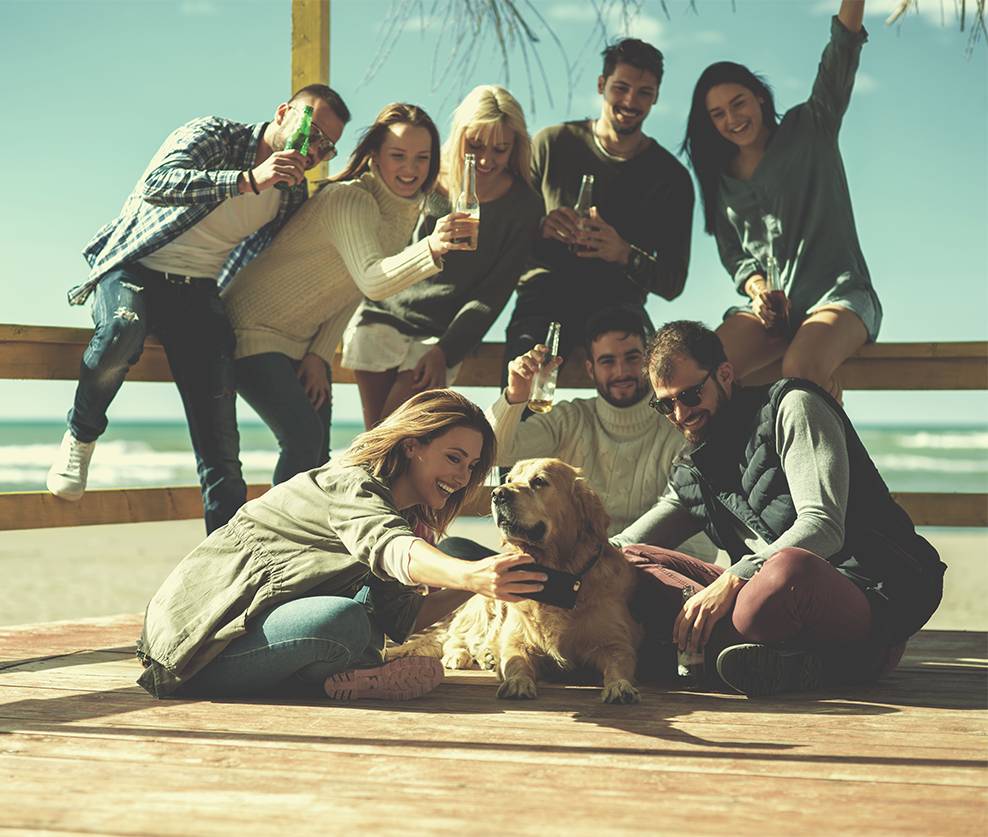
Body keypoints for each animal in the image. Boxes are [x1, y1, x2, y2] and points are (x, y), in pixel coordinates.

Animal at [391, 458, 643, 704]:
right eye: (509, 479)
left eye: (539, 481)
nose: (497, 494)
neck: (556, 578)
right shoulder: (516, 638)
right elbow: (515, 659)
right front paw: (517, 681)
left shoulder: (616, 642)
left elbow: (618, 664)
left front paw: (620, 686)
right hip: (485, 607)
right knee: (455, 637)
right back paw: (459, 654)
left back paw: (487, 656)